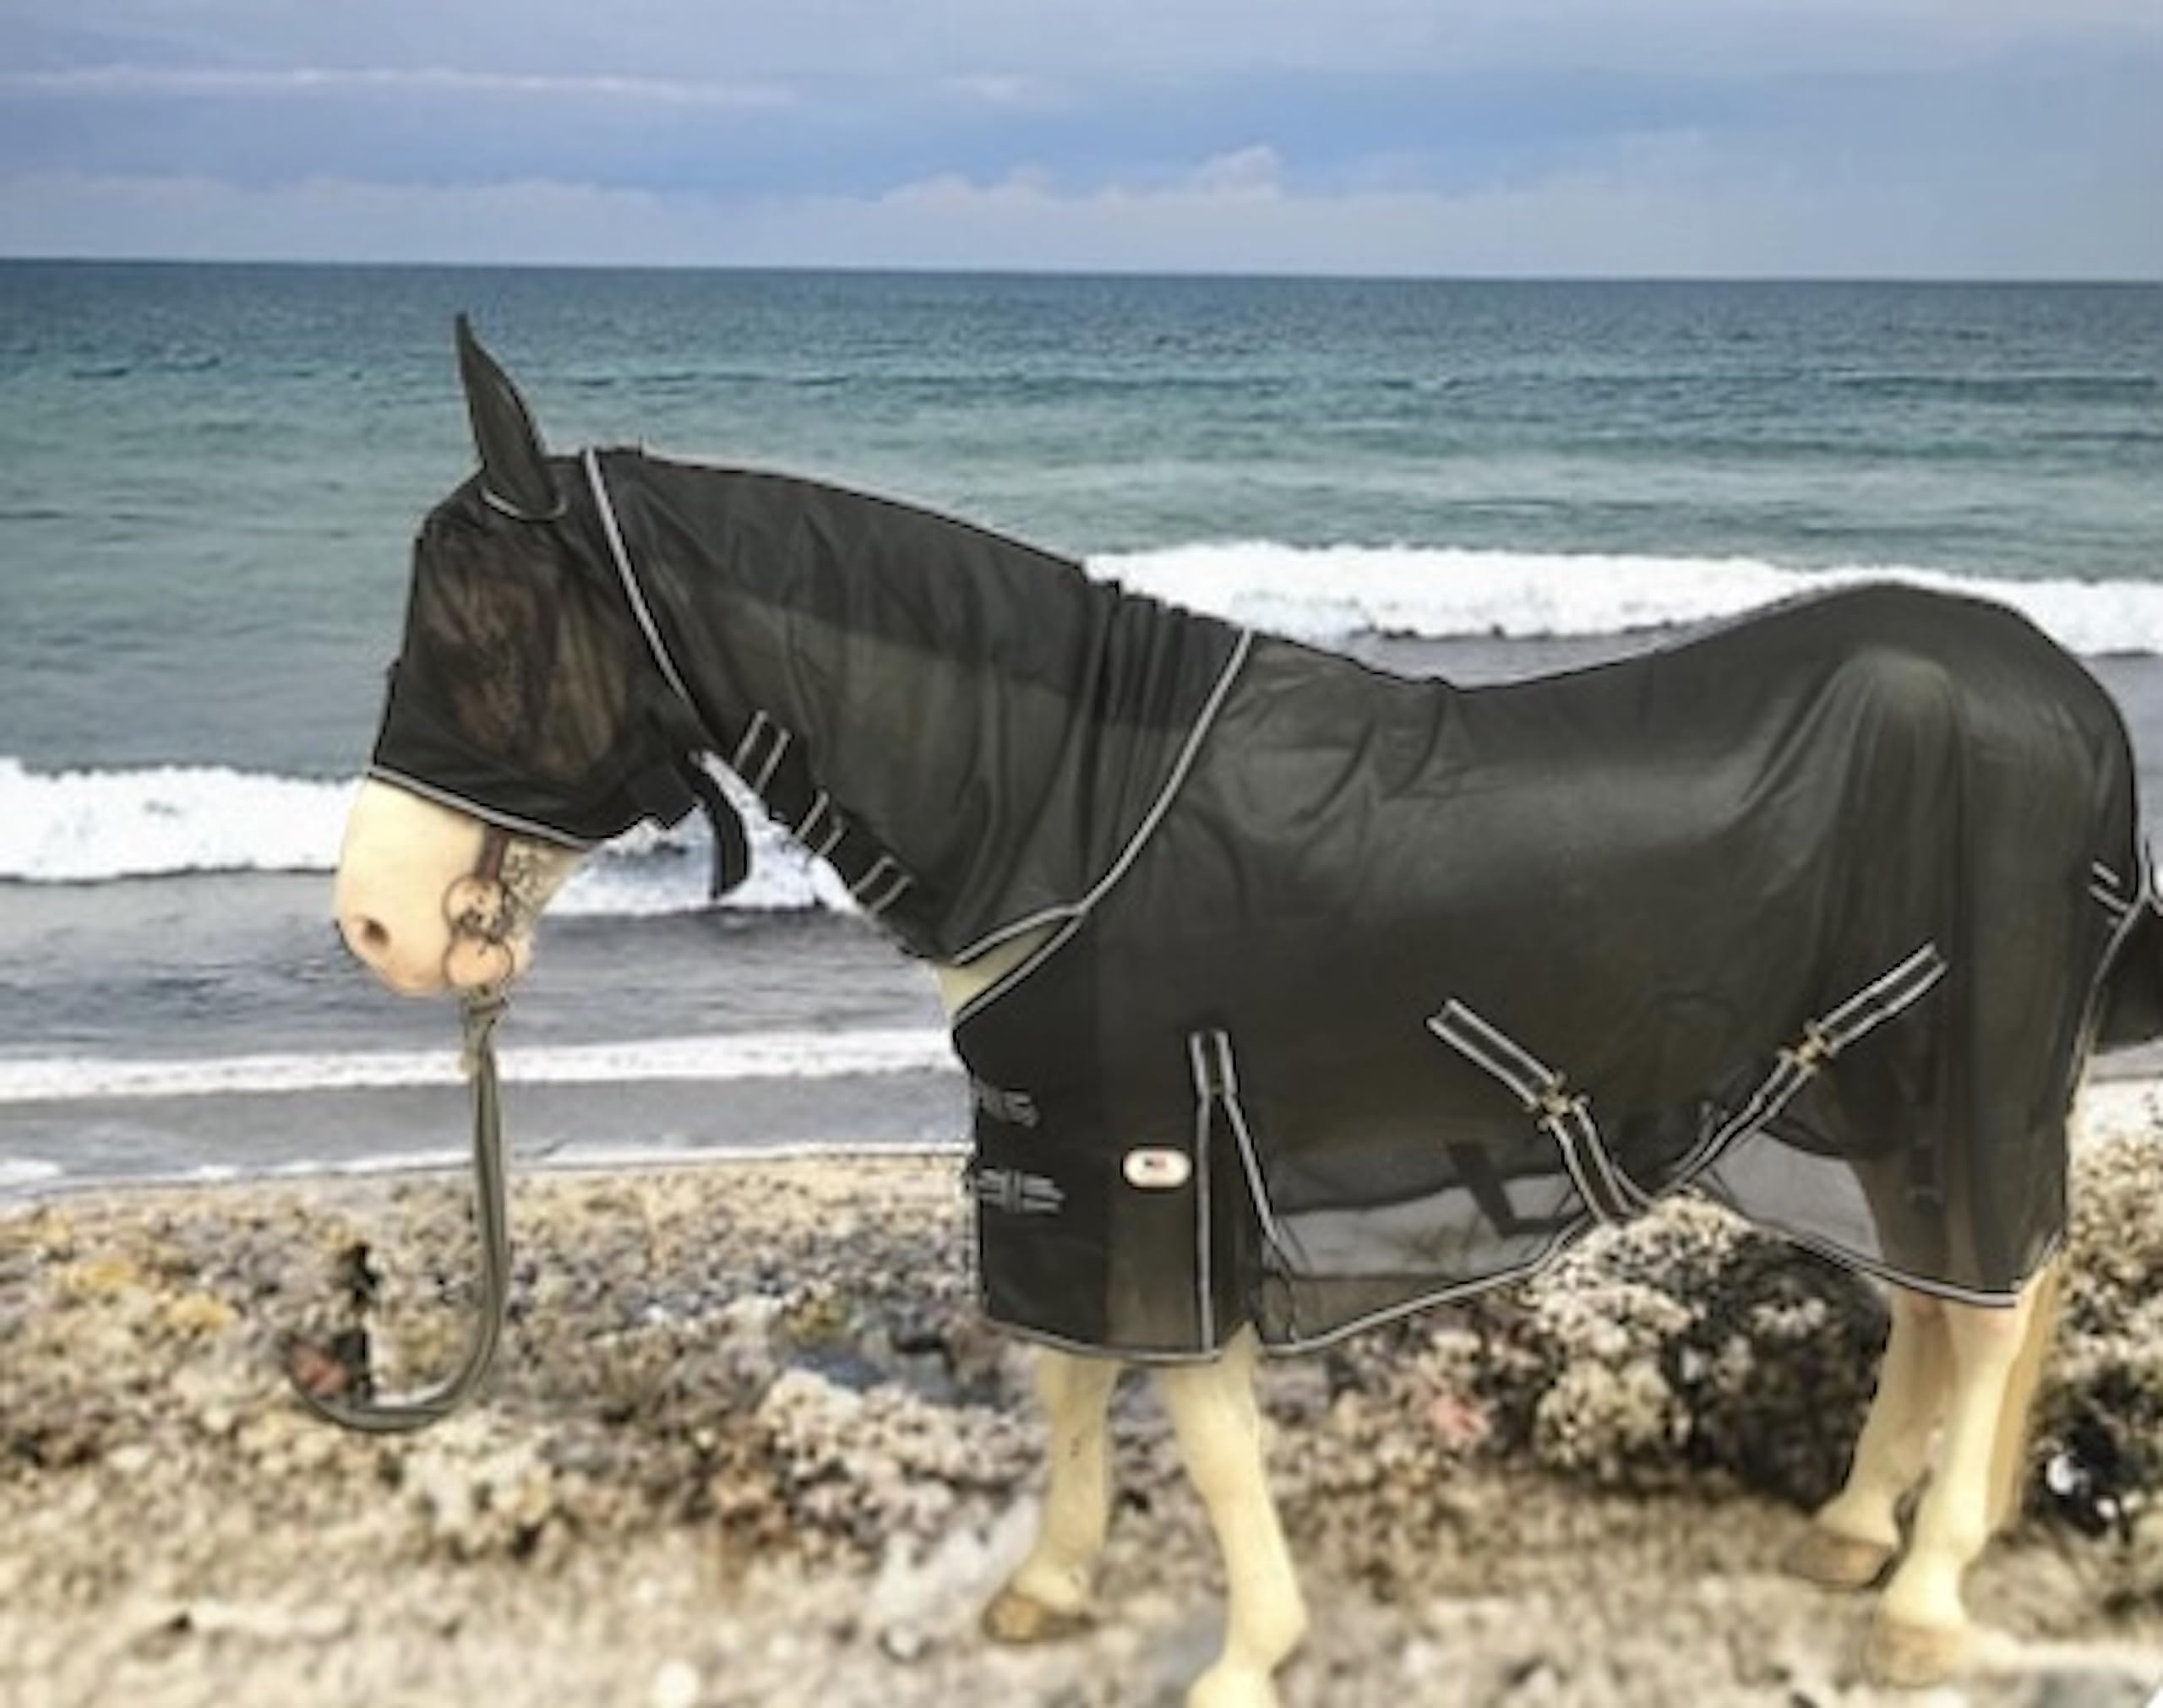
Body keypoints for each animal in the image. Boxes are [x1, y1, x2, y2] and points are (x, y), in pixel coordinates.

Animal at [327, 319, 2163, 1707]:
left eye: (484, 627)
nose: (375, 922)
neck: (1066, 806)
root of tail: (2066, 702)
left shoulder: (1160, 1156)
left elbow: (1199, 1429)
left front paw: (1243, 1653)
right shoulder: (1063, 1156)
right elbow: (1072, 1385)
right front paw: (1052, 1588)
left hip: (1958, 1073)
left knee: (1992, 1306)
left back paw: (1920, 1599)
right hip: (1863, 1085)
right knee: (1935, 1300)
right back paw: (1852, 1532)